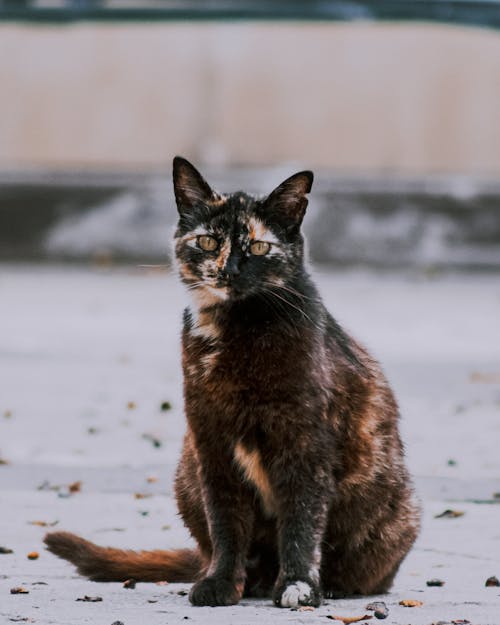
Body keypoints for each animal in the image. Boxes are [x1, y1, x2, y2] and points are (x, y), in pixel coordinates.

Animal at [45, 158, 420, 608]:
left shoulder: (305, 446)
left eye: (258, 248)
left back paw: (326, 584)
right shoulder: (212, 444)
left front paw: (299, 586)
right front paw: (222, 582)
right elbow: (226, 523)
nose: (228, 269)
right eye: (208, 242)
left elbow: (302, 522)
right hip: (186, 472)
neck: (237, 330)